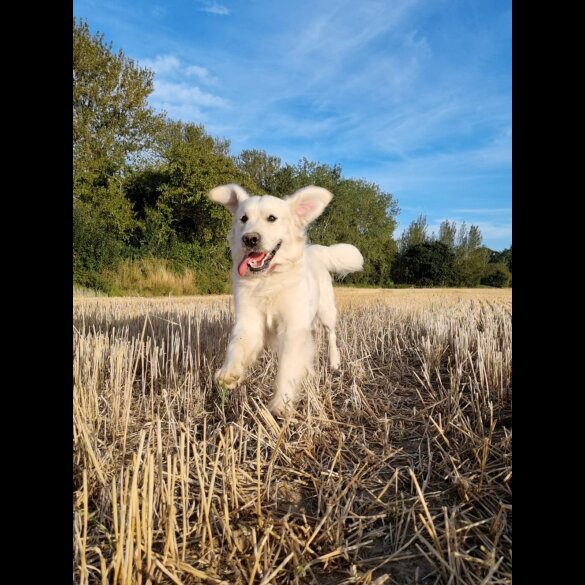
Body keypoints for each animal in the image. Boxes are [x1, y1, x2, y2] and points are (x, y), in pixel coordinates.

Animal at [208, 184, 362, 416]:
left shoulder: (293, 327)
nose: (250, 239)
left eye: (272, 218)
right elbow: (237, 346)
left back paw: (334, 362)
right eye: (243, 218)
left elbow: (288, 367)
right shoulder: (249, 321)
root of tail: (314, 250)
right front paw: (229, 373)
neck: (268, 280)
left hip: (326, 311)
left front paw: (281, 403)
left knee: (331, 335)